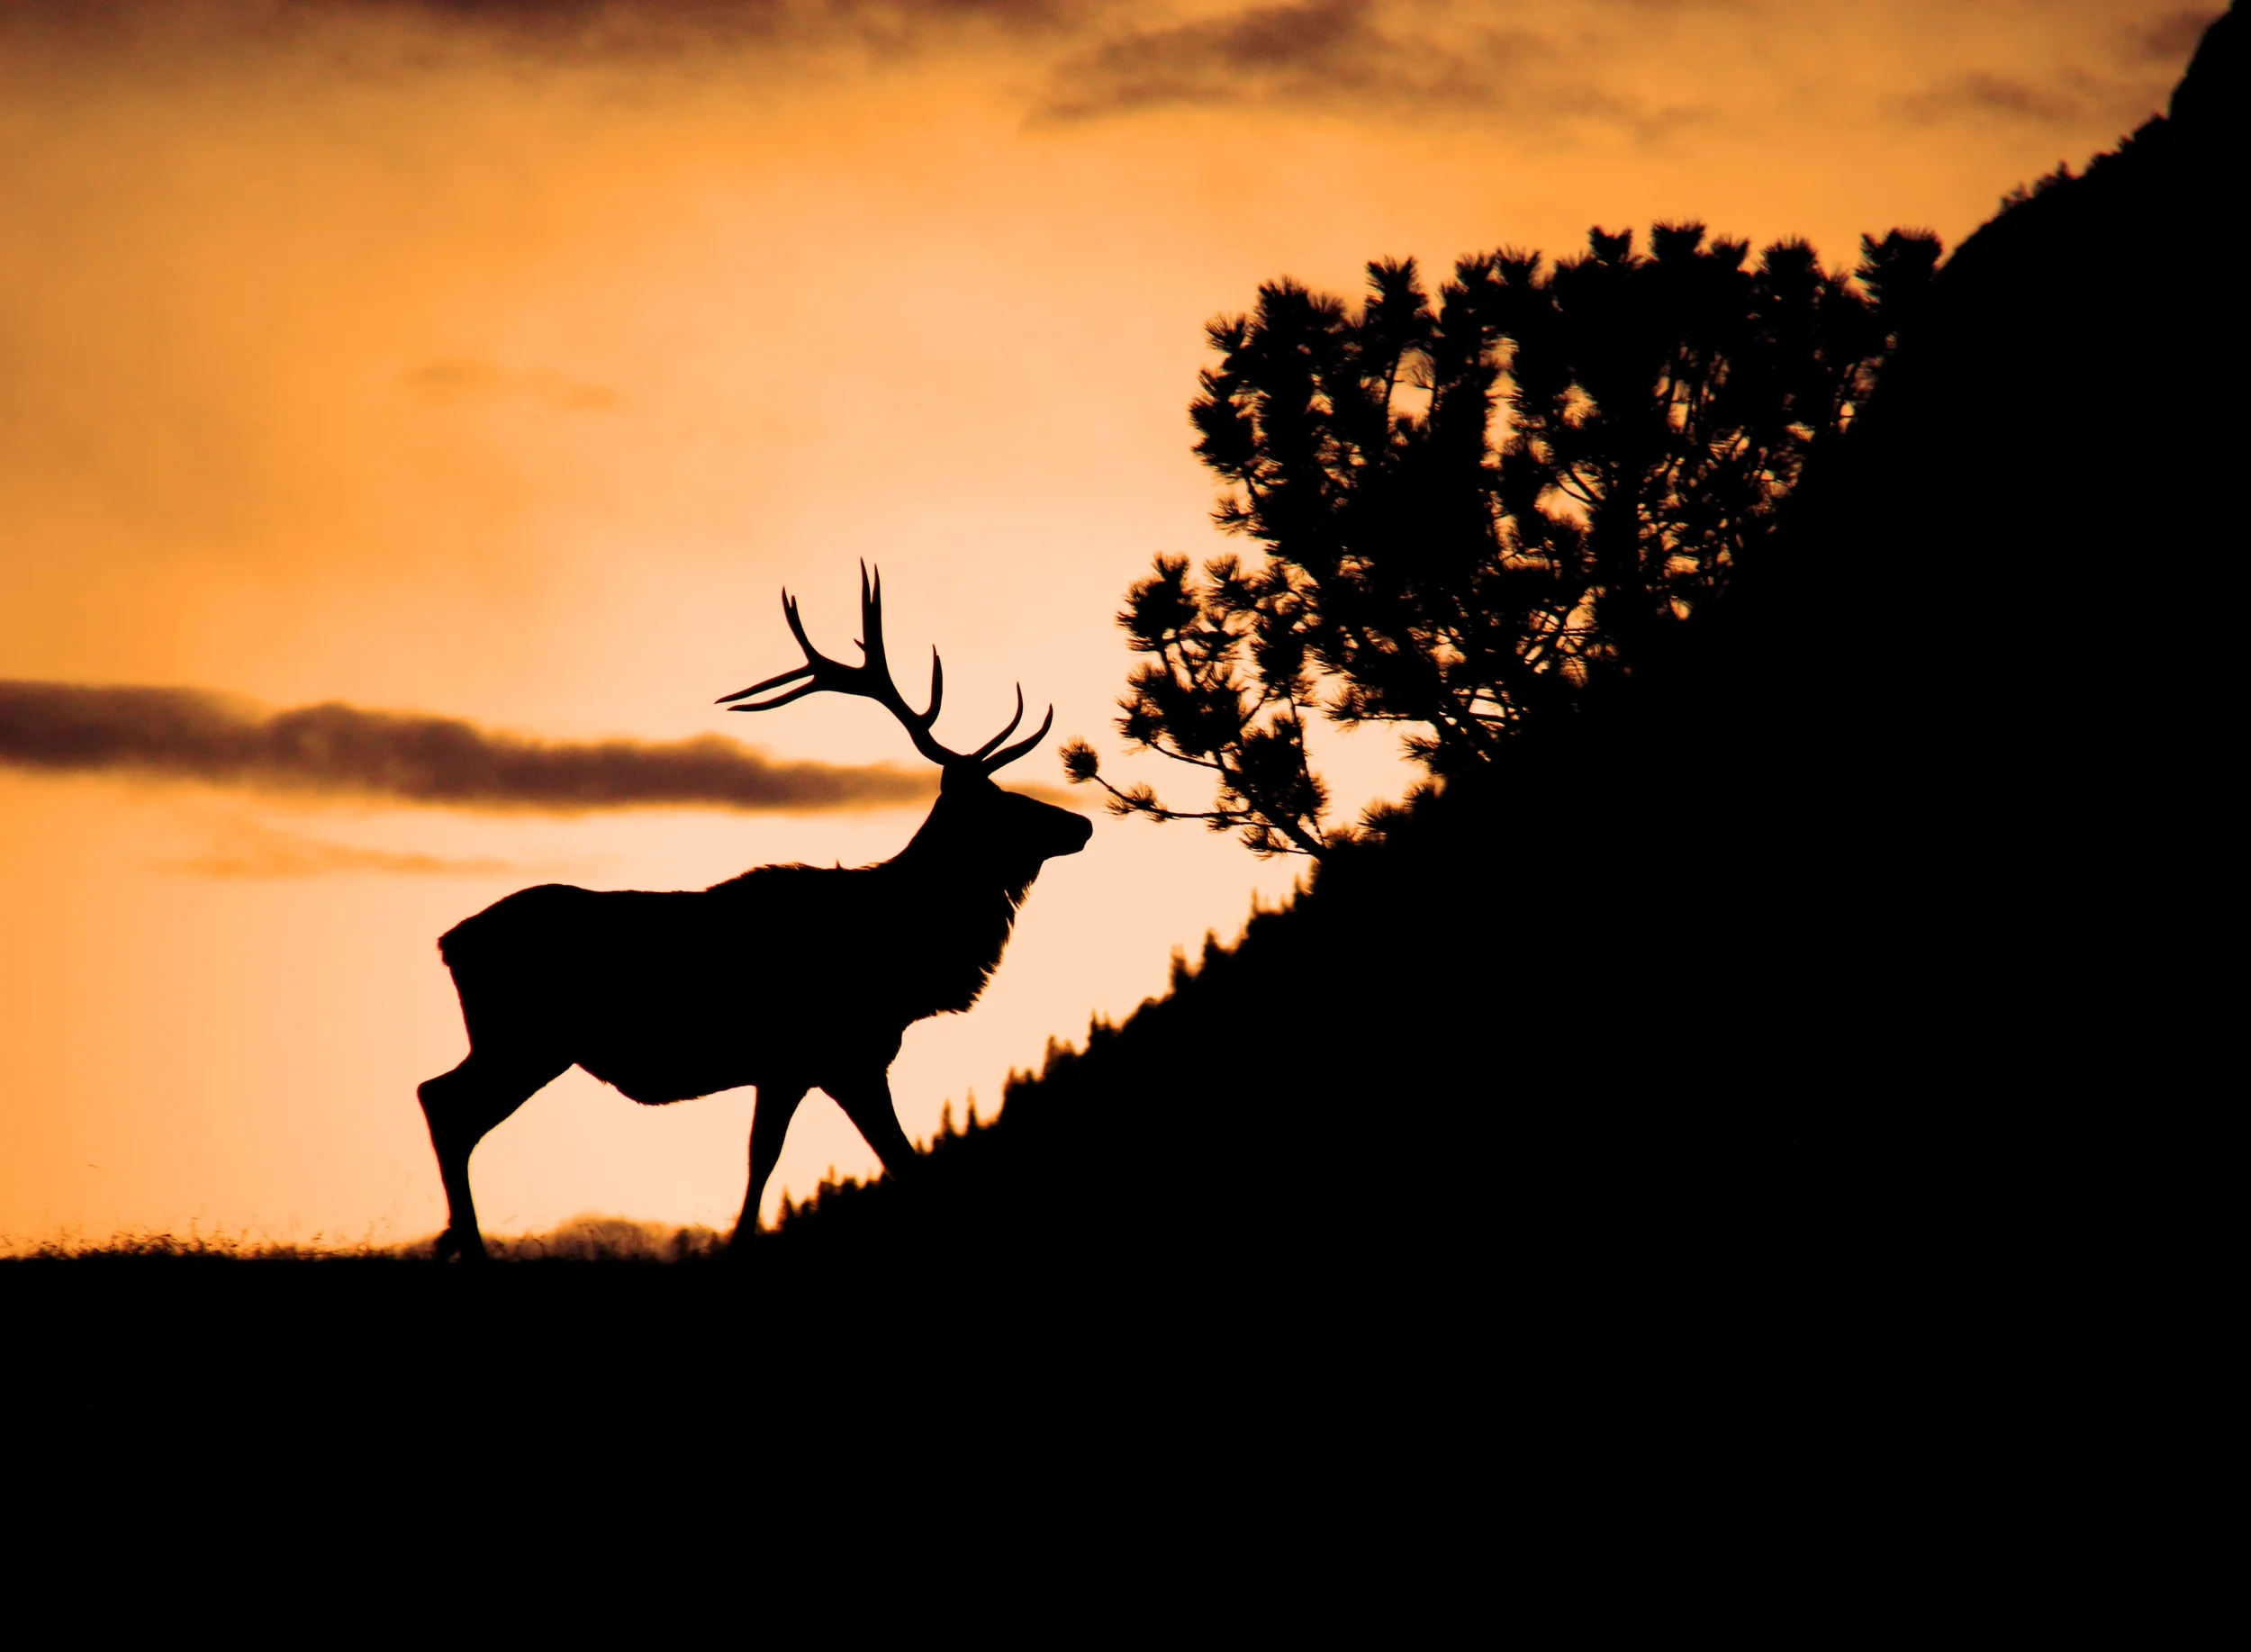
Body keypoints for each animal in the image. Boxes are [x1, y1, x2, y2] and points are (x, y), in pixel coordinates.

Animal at [417, 565, 1092, 1262]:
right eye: (1002, 803)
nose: (1082, 823)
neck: (908, 964)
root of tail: (449, 942)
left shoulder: (789, 1068)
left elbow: (765, 1159)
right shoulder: (839, 1056)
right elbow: (887, 1161)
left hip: (521, 1041)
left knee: (443, 1101)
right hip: (524, 1036)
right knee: (443, 1103)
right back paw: (470, 1248)